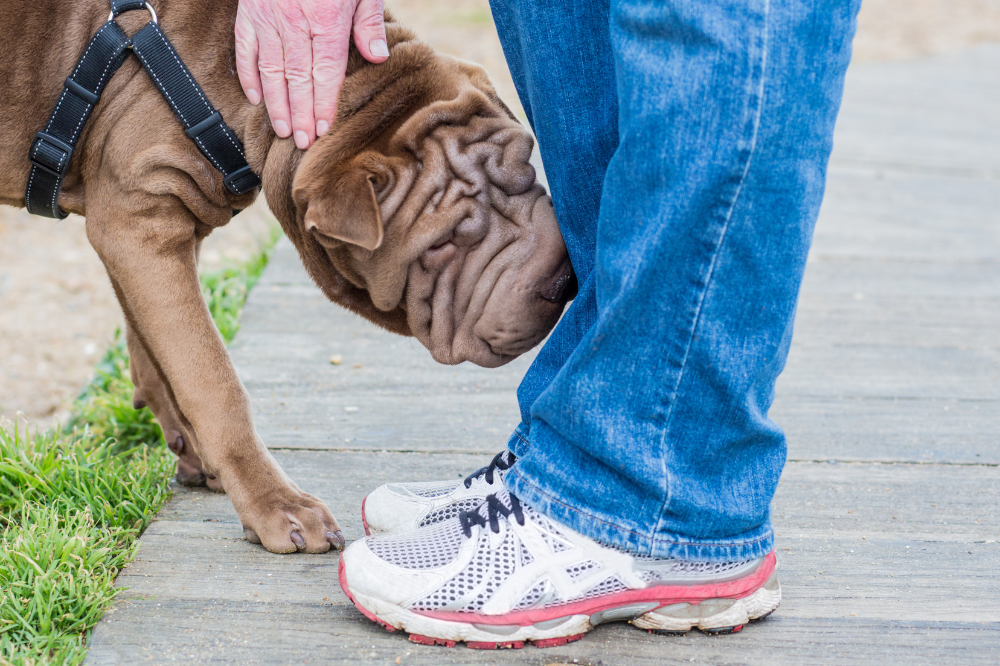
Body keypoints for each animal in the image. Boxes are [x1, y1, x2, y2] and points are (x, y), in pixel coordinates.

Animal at [0, 0, 576, 552]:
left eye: (528, 167)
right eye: (441, 243)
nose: (562, 281)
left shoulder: (146, 226)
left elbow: (157, 355)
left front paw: (194, 450)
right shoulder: (140, 217)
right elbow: (213, 380)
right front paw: (275, 506)